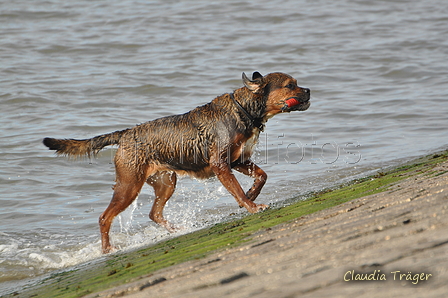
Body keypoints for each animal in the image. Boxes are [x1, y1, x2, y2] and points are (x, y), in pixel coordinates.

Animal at [42, 71, 310, 253]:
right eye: (290, 85)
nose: (308, 91)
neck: (243, 110)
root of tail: (125, 134)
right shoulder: (221, 165)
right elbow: (236, 189)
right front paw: (252, 205)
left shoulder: (239, 160)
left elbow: (262, 176)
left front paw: (252, 193)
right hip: (128, 185)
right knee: (105, 217)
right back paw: (108, 250)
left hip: (165, 181)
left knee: (154, 213)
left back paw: (176, 231)